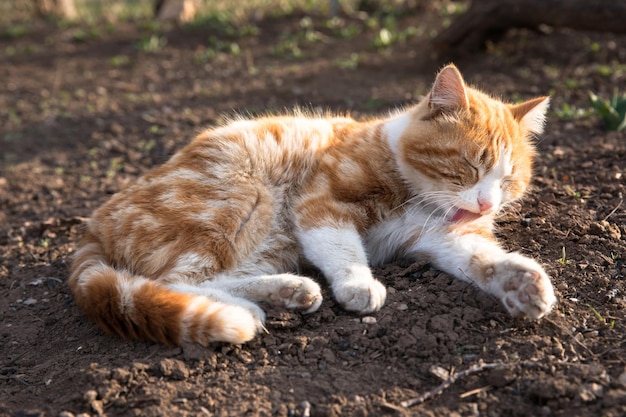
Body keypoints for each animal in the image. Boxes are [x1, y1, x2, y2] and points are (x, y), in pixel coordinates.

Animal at [69, 64, 556, 344]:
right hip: (242, 197)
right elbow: (343, 249)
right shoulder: (320, 202)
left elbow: (482, 258)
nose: (486, 204)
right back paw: (244, 312)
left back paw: (285, 291)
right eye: (471, 167)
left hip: (269, 240)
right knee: (174, 279)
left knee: (215, 276)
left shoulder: (445, 237)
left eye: (508, 179)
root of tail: (95, 221)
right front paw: (359, 284)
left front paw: (521, 282)